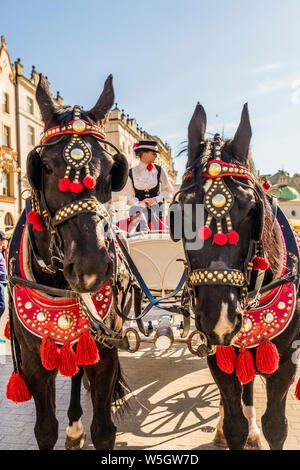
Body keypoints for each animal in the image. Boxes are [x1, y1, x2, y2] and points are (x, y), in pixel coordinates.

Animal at [6, 72, 129, 448]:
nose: (91, 267)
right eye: (44, 166)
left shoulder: (104, 353)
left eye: (112, 169)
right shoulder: (34, 364)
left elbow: (104, 430)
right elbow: (45, 428)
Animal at [173, 103, 300, 452]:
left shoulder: (286, 361)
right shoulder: (219, 354)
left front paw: (262, 430)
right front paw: (234, 428)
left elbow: (277, 427)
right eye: (182, 208)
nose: (220, 316)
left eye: (251, 208)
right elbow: (234, 425)